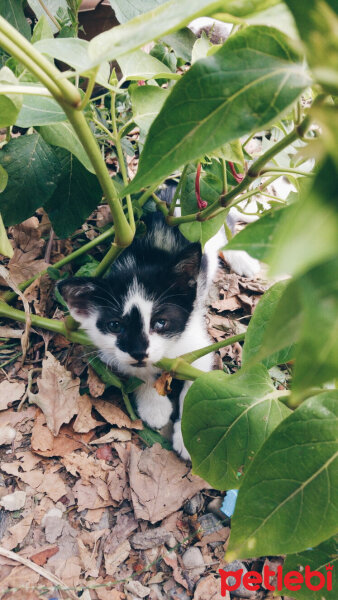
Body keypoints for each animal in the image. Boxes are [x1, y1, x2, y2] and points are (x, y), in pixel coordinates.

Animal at [58, 209, 258, 458]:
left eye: (161, 323)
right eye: (115, 326)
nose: (138, 351)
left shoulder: (195, 341)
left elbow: (194, 381)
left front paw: (188, 438)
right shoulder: (112, 350)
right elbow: (136, 371)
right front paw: (153, 405)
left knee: (228, 223)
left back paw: (242, 258)